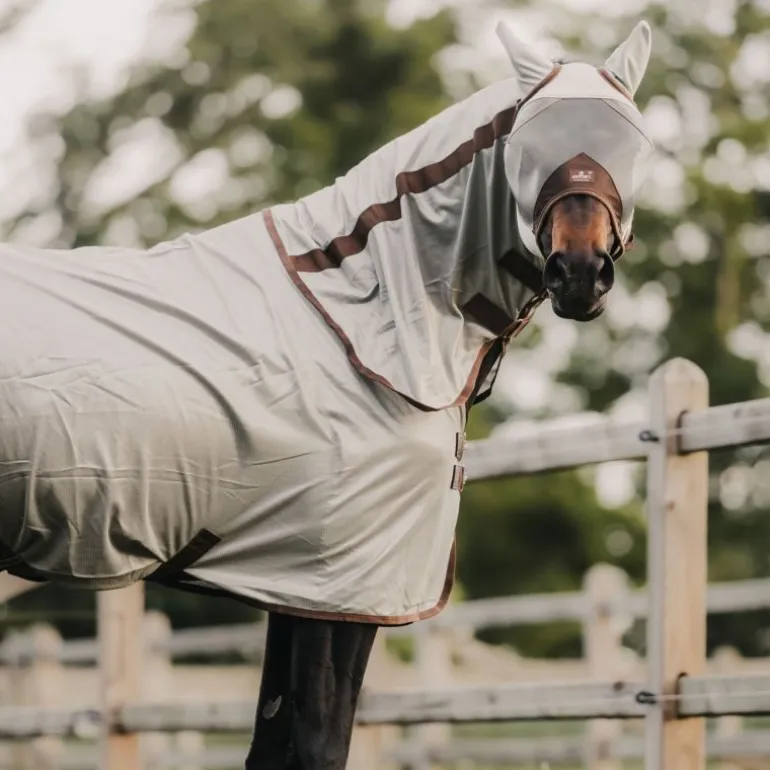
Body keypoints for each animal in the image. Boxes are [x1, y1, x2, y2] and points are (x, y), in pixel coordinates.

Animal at [0, 19, 654, 769]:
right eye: (529, 144)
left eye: (635, 143)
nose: (580, 272)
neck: (363, 317)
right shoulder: (340, 584)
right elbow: (317, 742)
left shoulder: (299, 586)